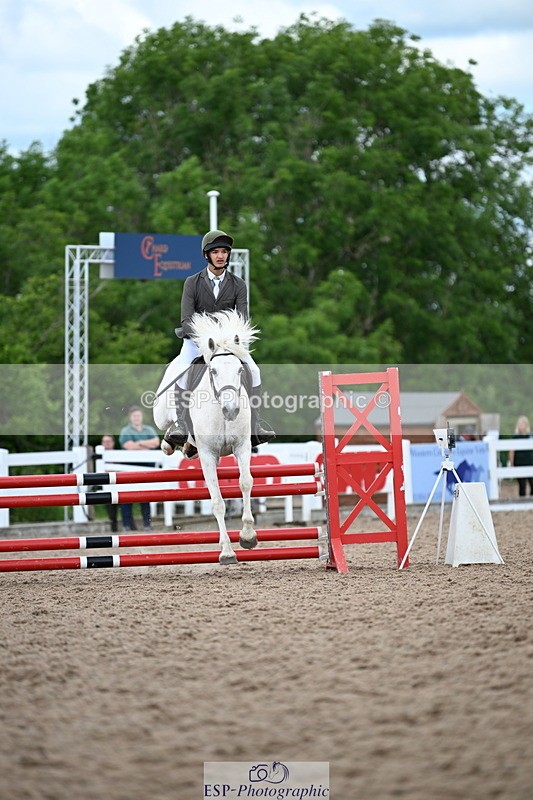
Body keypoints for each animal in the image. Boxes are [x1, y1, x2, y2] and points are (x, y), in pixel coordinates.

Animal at [154, 310, 259, 565]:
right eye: (213, 371)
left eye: (240, 370)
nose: (231, 410)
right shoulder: (208, 455)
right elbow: (218, 502)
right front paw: (227, 552)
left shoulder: (243, 447)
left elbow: (245, 483)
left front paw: (248, 536)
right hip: (160, 414)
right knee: (167, 426)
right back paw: (171, 440)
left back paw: (185, 446)